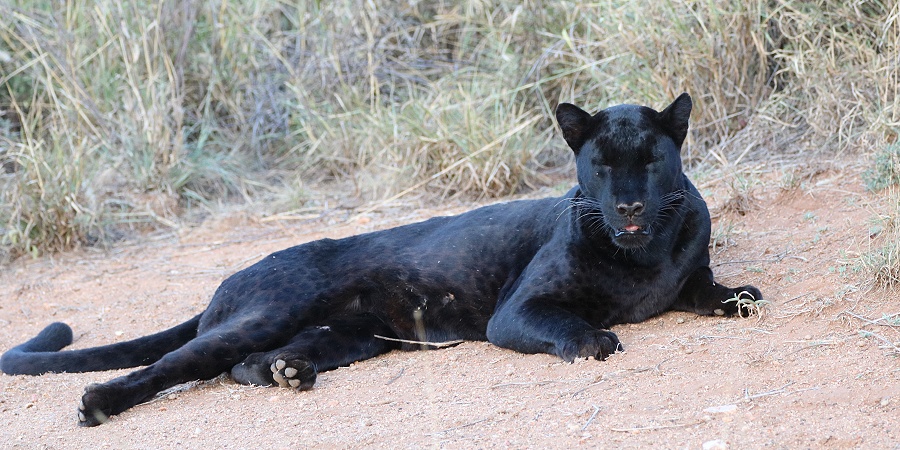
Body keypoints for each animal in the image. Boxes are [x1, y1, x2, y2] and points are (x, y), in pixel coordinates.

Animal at [1, 93, 762, 426]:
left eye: (650, 161)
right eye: (602, 166)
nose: (629, 205)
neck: (641, 255)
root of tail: (232, 277)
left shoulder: (689, 274)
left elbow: (710, 288)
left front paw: (740, 298)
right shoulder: (519, 311)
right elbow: (567, 325)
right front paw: (596, 341)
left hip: (352, 336)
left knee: (245, 365)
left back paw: (288, 375)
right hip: (268, 311)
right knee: (170, 364)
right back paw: (97, 405)